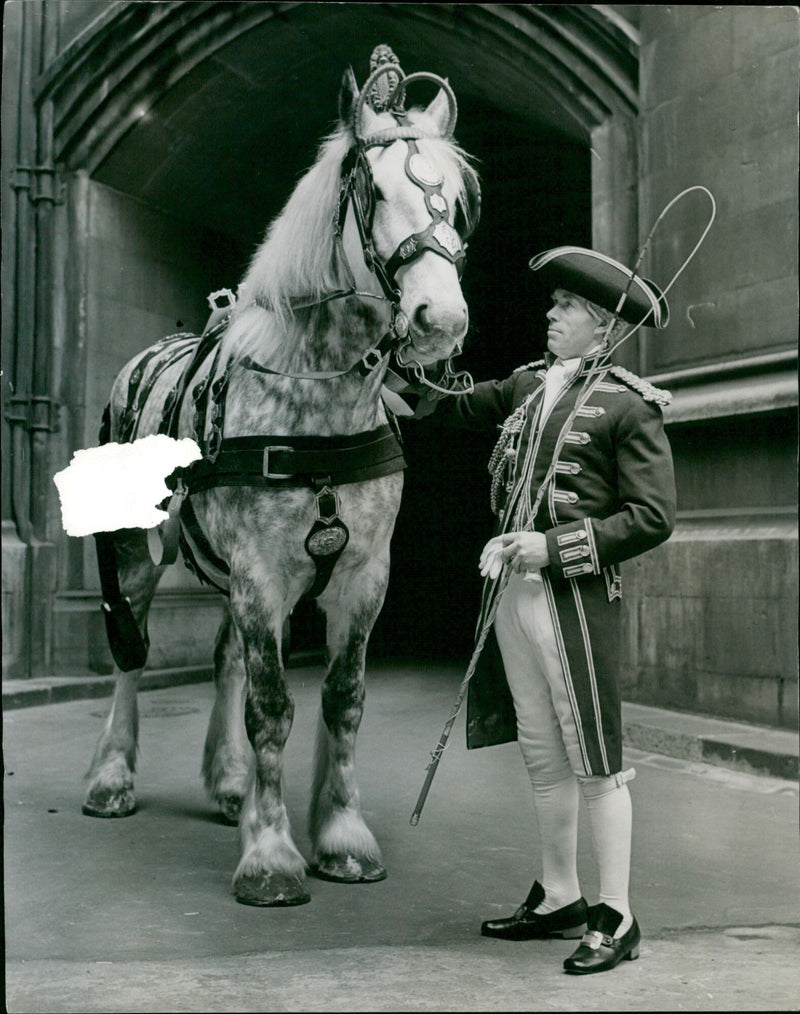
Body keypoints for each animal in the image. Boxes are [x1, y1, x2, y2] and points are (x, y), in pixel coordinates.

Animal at [81, 47, 480, 908]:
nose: (441, 321)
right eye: (373, 192)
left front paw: (340, 834)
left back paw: (230, 782)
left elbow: (343, 700)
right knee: (133, 652)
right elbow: (272, 707)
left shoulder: (362, 576)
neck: (316, 396)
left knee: (226, 654)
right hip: (135, 554)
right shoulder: (263, 573)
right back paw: (112, 776)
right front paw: (269, 855)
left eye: (458, 204)